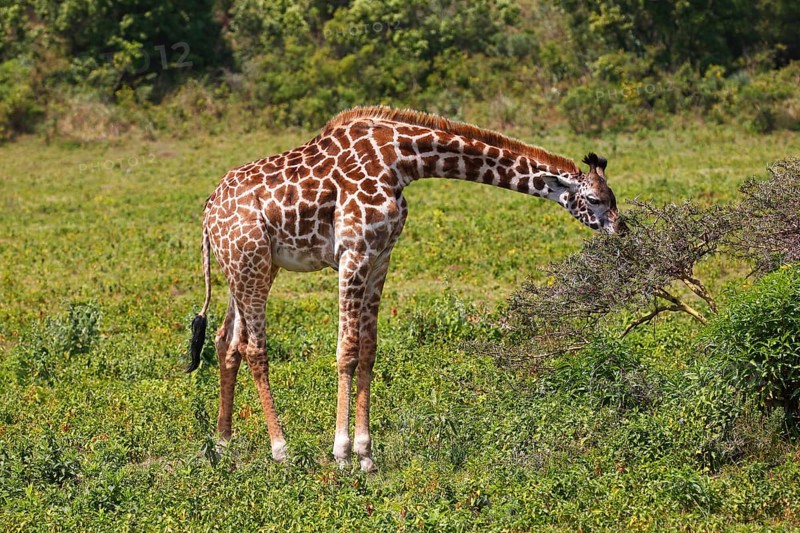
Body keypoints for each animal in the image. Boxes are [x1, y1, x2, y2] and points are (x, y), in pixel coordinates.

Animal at [186, 106, 622, 472]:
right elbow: (346, 350)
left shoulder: (381, 255)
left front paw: (366, 454)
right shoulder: (353, 252)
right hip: (251, 263)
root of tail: (207, 212)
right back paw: (281, 450)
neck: (401, 161)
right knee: (254, 348)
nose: (623, 230)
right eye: (596, 199)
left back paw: (223, 445)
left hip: (251, 266)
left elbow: (368, 349)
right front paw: (341, 453)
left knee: (227, 341)